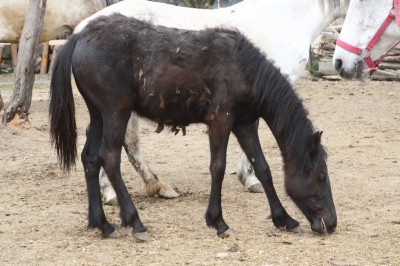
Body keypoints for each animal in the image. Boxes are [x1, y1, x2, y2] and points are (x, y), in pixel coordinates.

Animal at [50, 14, 338, 239]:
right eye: (321, 177)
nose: (332, 223)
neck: (244, 68)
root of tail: (79, 37)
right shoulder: (221, 121)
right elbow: (218, 167)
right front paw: (218, 221)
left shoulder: (245, 124)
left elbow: (263, 169)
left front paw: (284, 219)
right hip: (116, 113)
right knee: (109, 158)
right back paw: (135, 222)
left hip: (98, 115)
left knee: (90, 158)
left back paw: (101, 223)